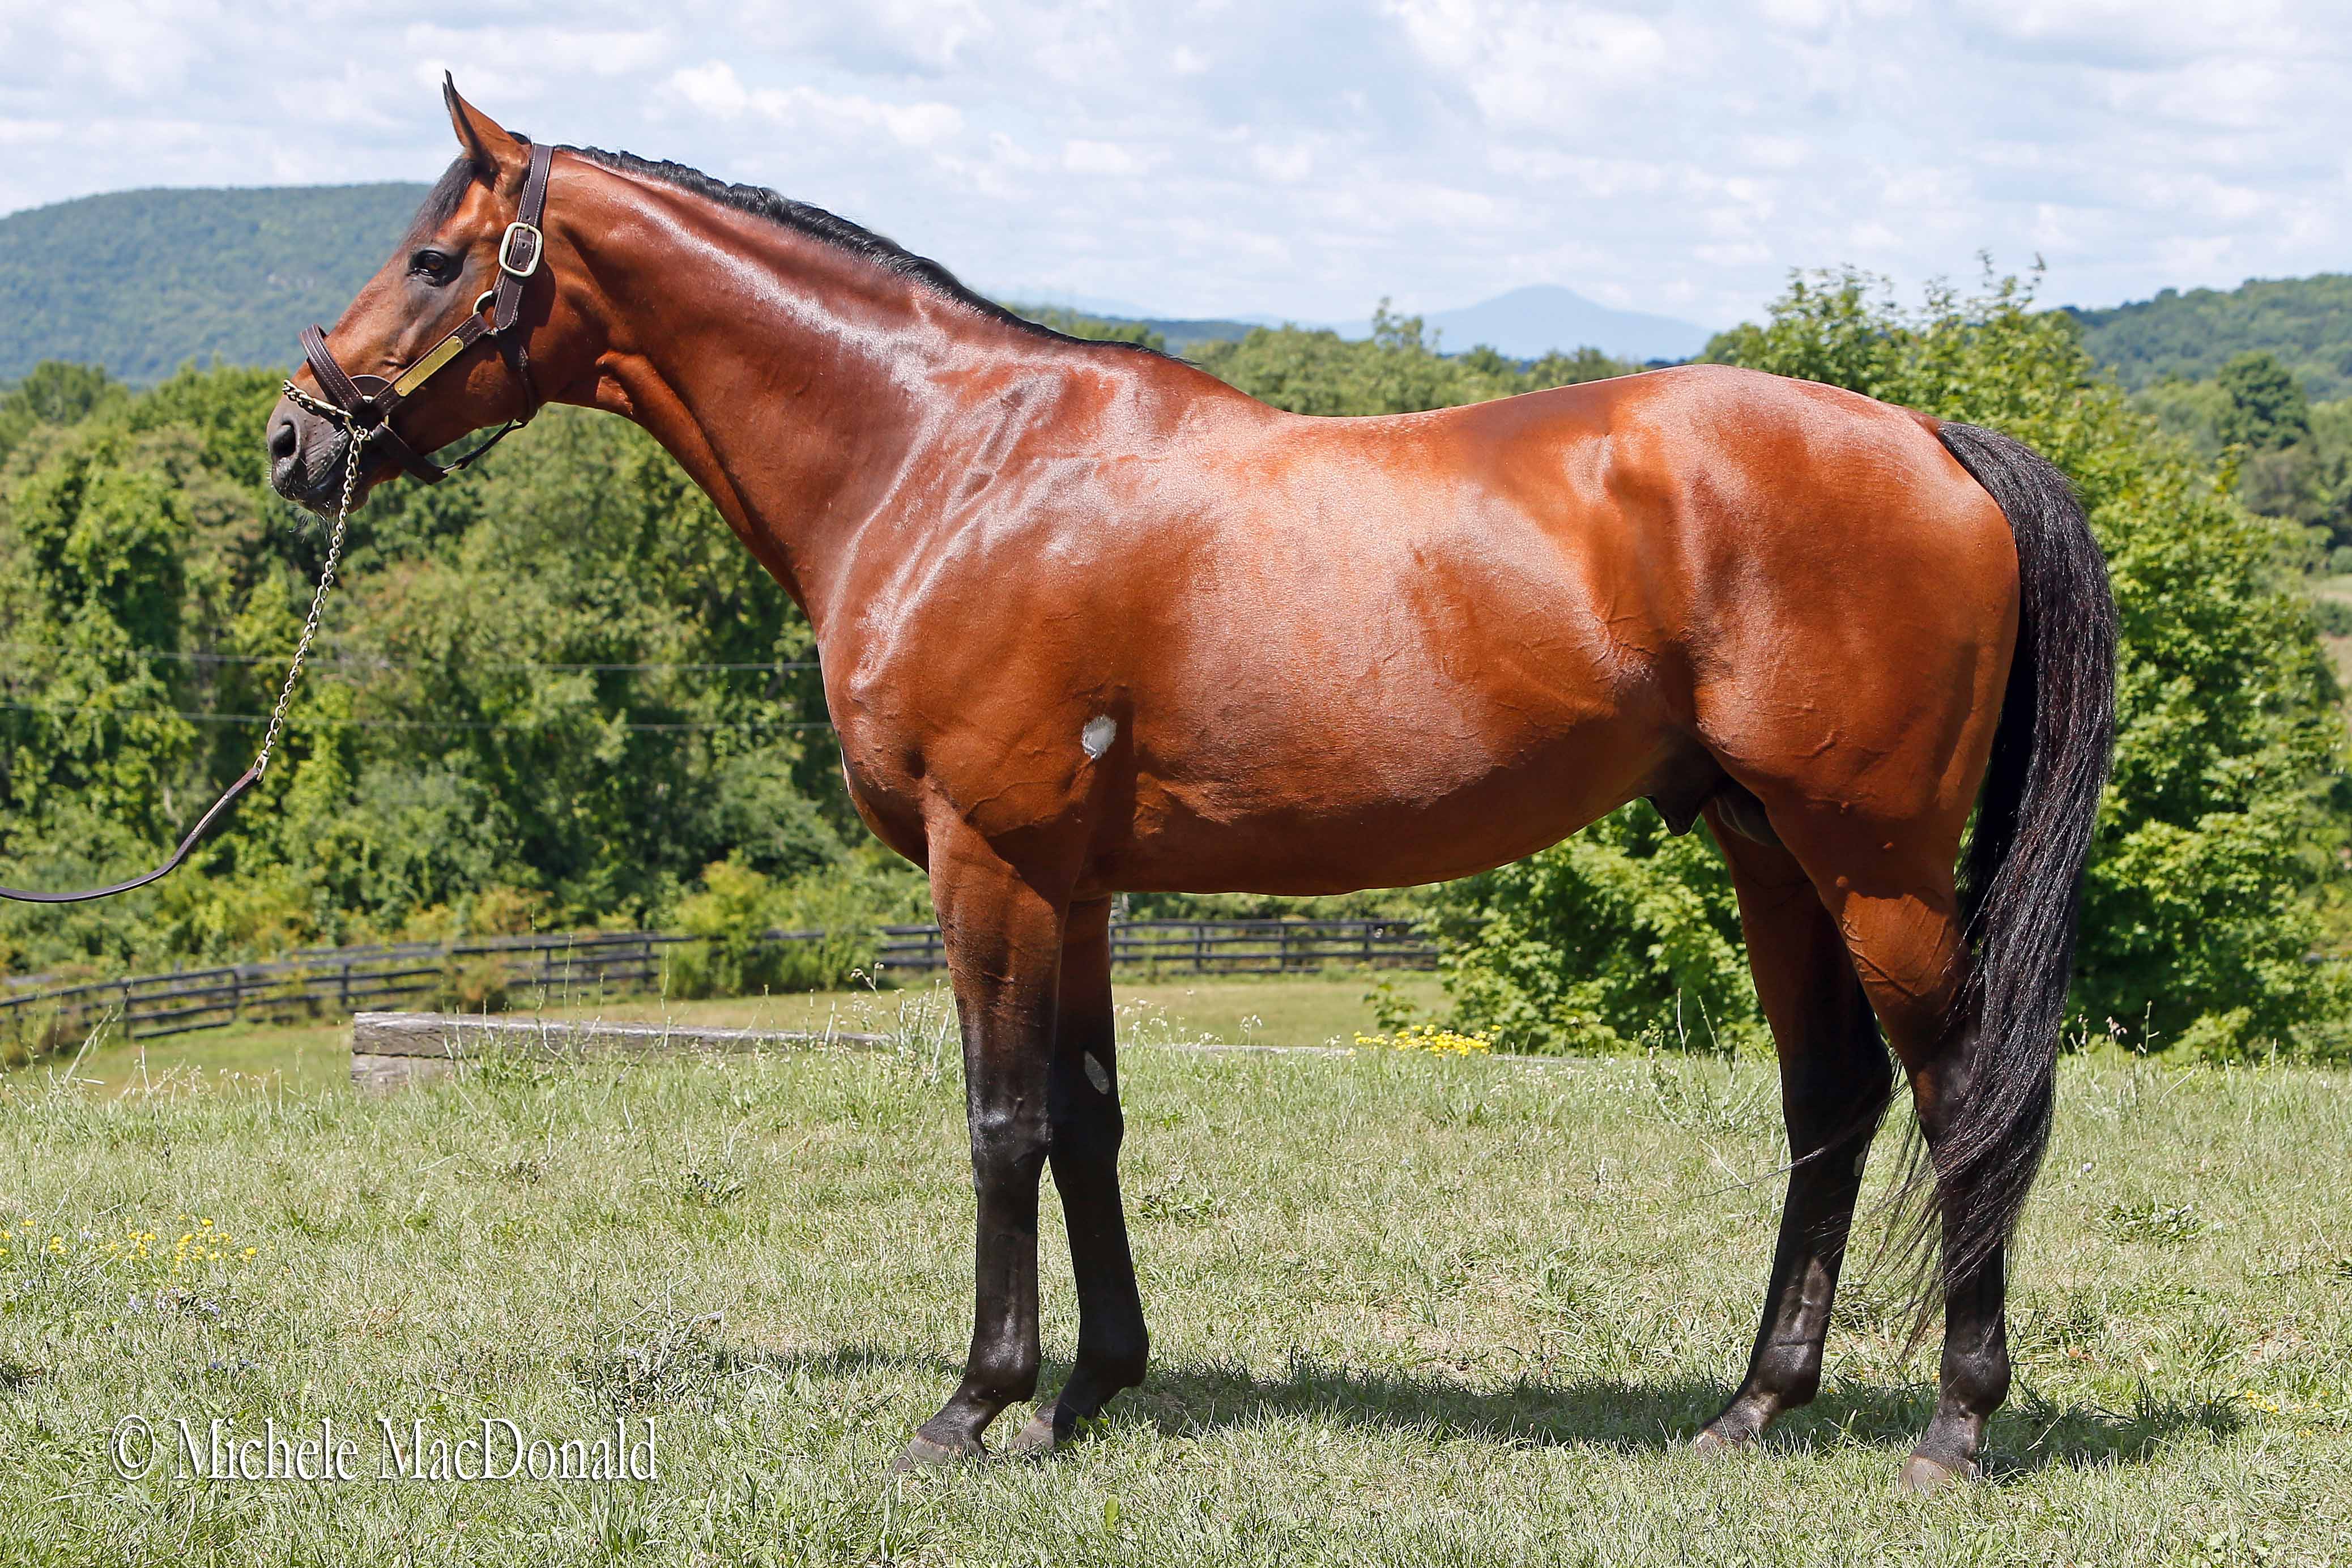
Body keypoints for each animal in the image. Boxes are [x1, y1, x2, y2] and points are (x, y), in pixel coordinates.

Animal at [270, 88, 2116, 1495]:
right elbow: (1088, 1117)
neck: (952, 461)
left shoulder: (987, 863)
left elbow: (1002, 1123)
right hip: (1767, 849)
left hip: (1873, 861)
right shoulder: (1077, 884)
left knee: (1965, 1097)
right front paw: (1093, 1388)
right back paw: (1751, 1404)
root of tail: (1933, 440)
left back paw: (1954, 1424)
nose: (298, 440)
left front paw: (973, 1403)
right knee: (1833, 1102)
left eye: (434, 255)